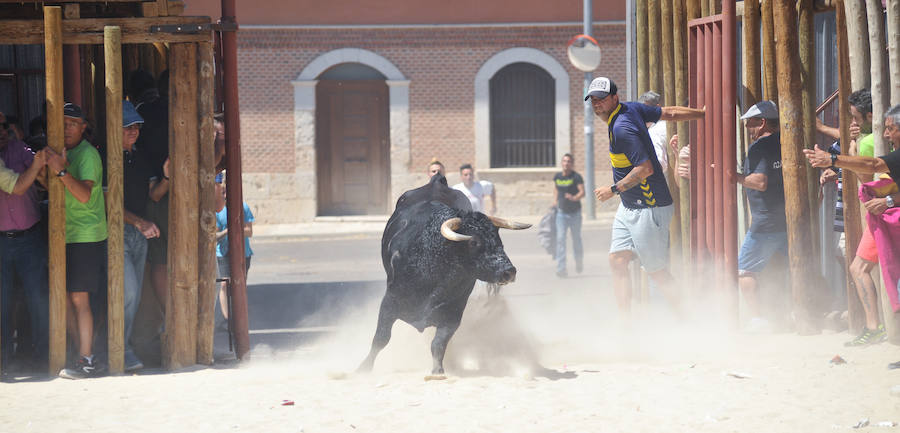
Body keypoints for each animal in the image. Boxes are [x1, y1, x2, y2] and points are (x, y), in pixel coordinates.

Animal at [356, 176, 528, 374]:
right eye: (474, 242)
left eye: (498, 239)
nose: (509, 271)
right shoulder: (389, 301)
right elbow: (381, 337)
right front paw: (363, 368)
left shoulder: (454, 312)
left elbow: (439, 343)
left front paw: (438, 370)